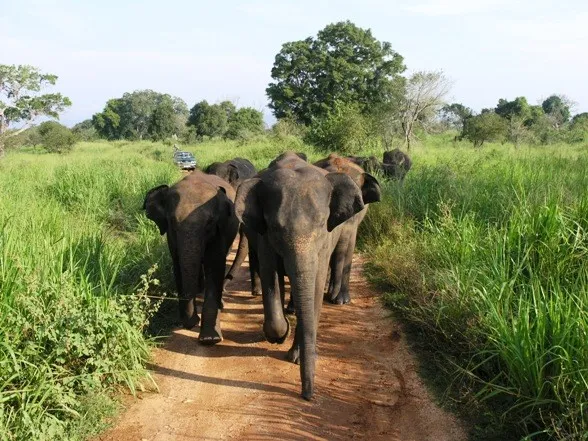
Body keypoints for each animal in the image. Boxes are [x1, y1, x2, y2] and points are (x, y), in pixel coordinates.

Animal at [143, 170, 239, 342]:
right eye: (172, 222)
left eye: (209, 223)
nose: (193, 322)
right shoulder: (171, 236)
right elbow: (178, 264)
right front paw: (190, 323)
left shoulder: (220, 230)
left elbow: (215, 264)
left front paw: (210, 339)